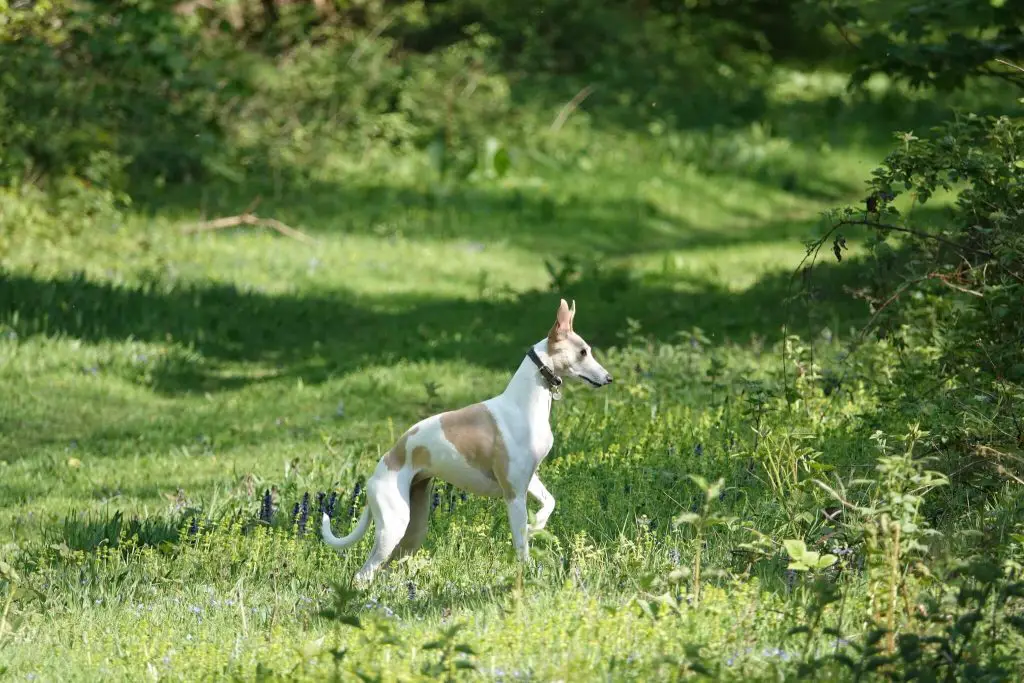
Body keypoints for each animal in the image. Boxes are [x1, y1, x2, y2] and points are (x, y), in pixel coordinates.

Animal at [319, 296, 610, 585]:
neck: (524, 404)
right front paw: (526, 569)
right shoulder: (513, 493)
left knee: (384, 569)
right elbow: (521, 544)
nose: (609, 378)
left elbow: (549, 502)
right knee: (363, 574)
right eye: (583, 352)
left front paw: (537, 524)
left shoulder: (529, 480)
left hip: (413, 530)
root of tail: (379, 469)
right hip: (393, 525)